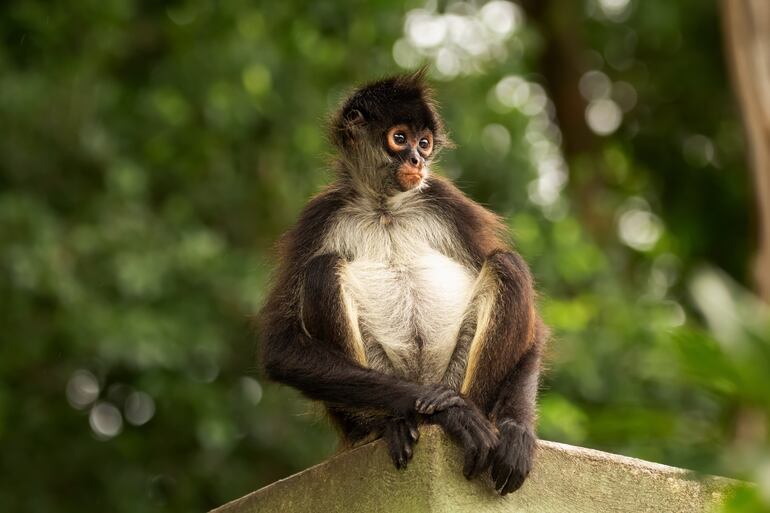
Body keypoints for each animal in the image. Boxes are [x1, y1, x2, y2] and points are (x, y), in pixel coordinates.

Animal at [260, 70, 544, 494]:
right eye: (399, 138)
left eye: (424, 143)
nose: (417, 160)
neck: (385, 209)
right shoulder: (319, 215)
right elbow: (281, 347)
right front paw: (448, 413)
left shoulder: (443, 198)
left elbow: (537, 332)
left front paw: (517, 430)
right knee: (322, 269)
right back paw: (395, 423)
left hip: (457, 375)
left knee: (507, 263)